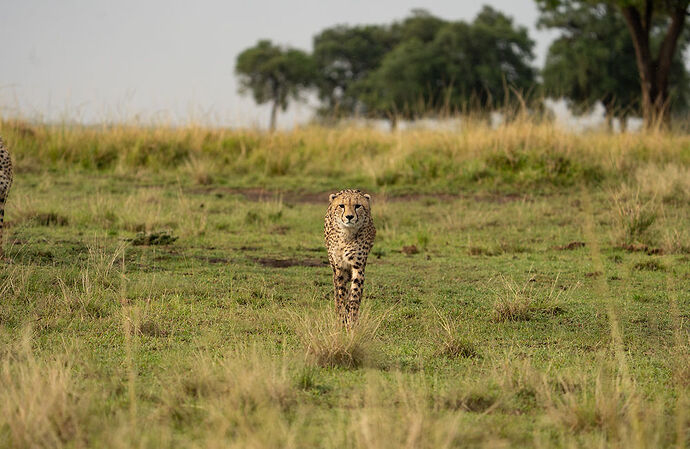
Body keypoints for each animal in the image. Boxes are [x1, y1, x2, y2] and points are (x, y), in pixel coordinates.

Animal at [324, 189, 376, 326]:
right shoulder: (339, 267)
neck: (347, 234)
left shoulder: (358, 266)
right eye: (342, 206)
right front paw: (342, 316)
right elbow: (341, 292)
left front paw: (351, 319)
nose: (349, 217)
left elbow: (354, 295)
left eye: (357, 206)